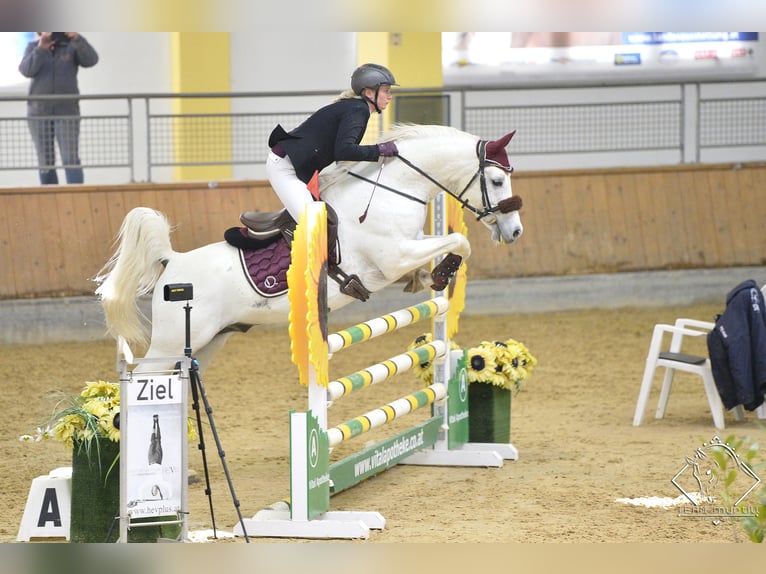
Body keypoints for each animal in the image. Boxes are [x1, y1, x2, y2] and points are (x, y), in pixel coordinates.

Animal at [96, 124, 524, 372]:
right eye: (497, 181)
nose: (516, 231)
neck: (393, 188)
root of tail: (172, 261)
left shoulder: (410, 245)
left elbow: (442, 246)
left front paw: (428, 277)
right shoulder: (393, 256)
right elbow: (460, 241)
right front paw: (441, 273)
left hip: (210, 340)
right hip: (171, 341)